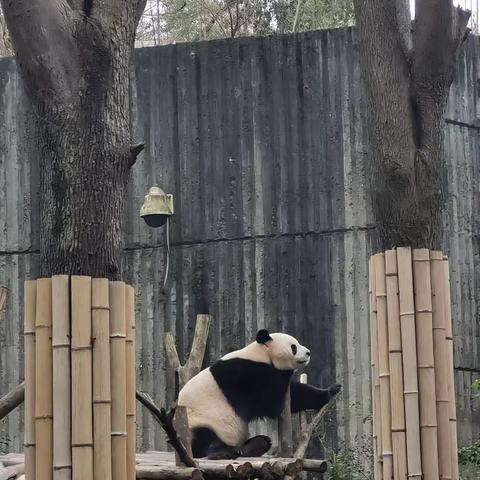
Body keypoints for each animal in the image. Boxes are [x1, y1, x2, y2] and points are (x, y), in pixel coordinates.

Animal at [177, 328, 342, 460]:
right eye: (293, 347)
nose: (308, 353)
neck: (261, 354)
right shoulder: (244, 374)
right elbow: (268, 402)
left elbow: (296, 396)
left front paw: (331, 390)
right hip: (200, 420)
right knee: (202, 438)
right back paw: (219, 452)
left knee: (260, 441)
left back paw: (254, 445)